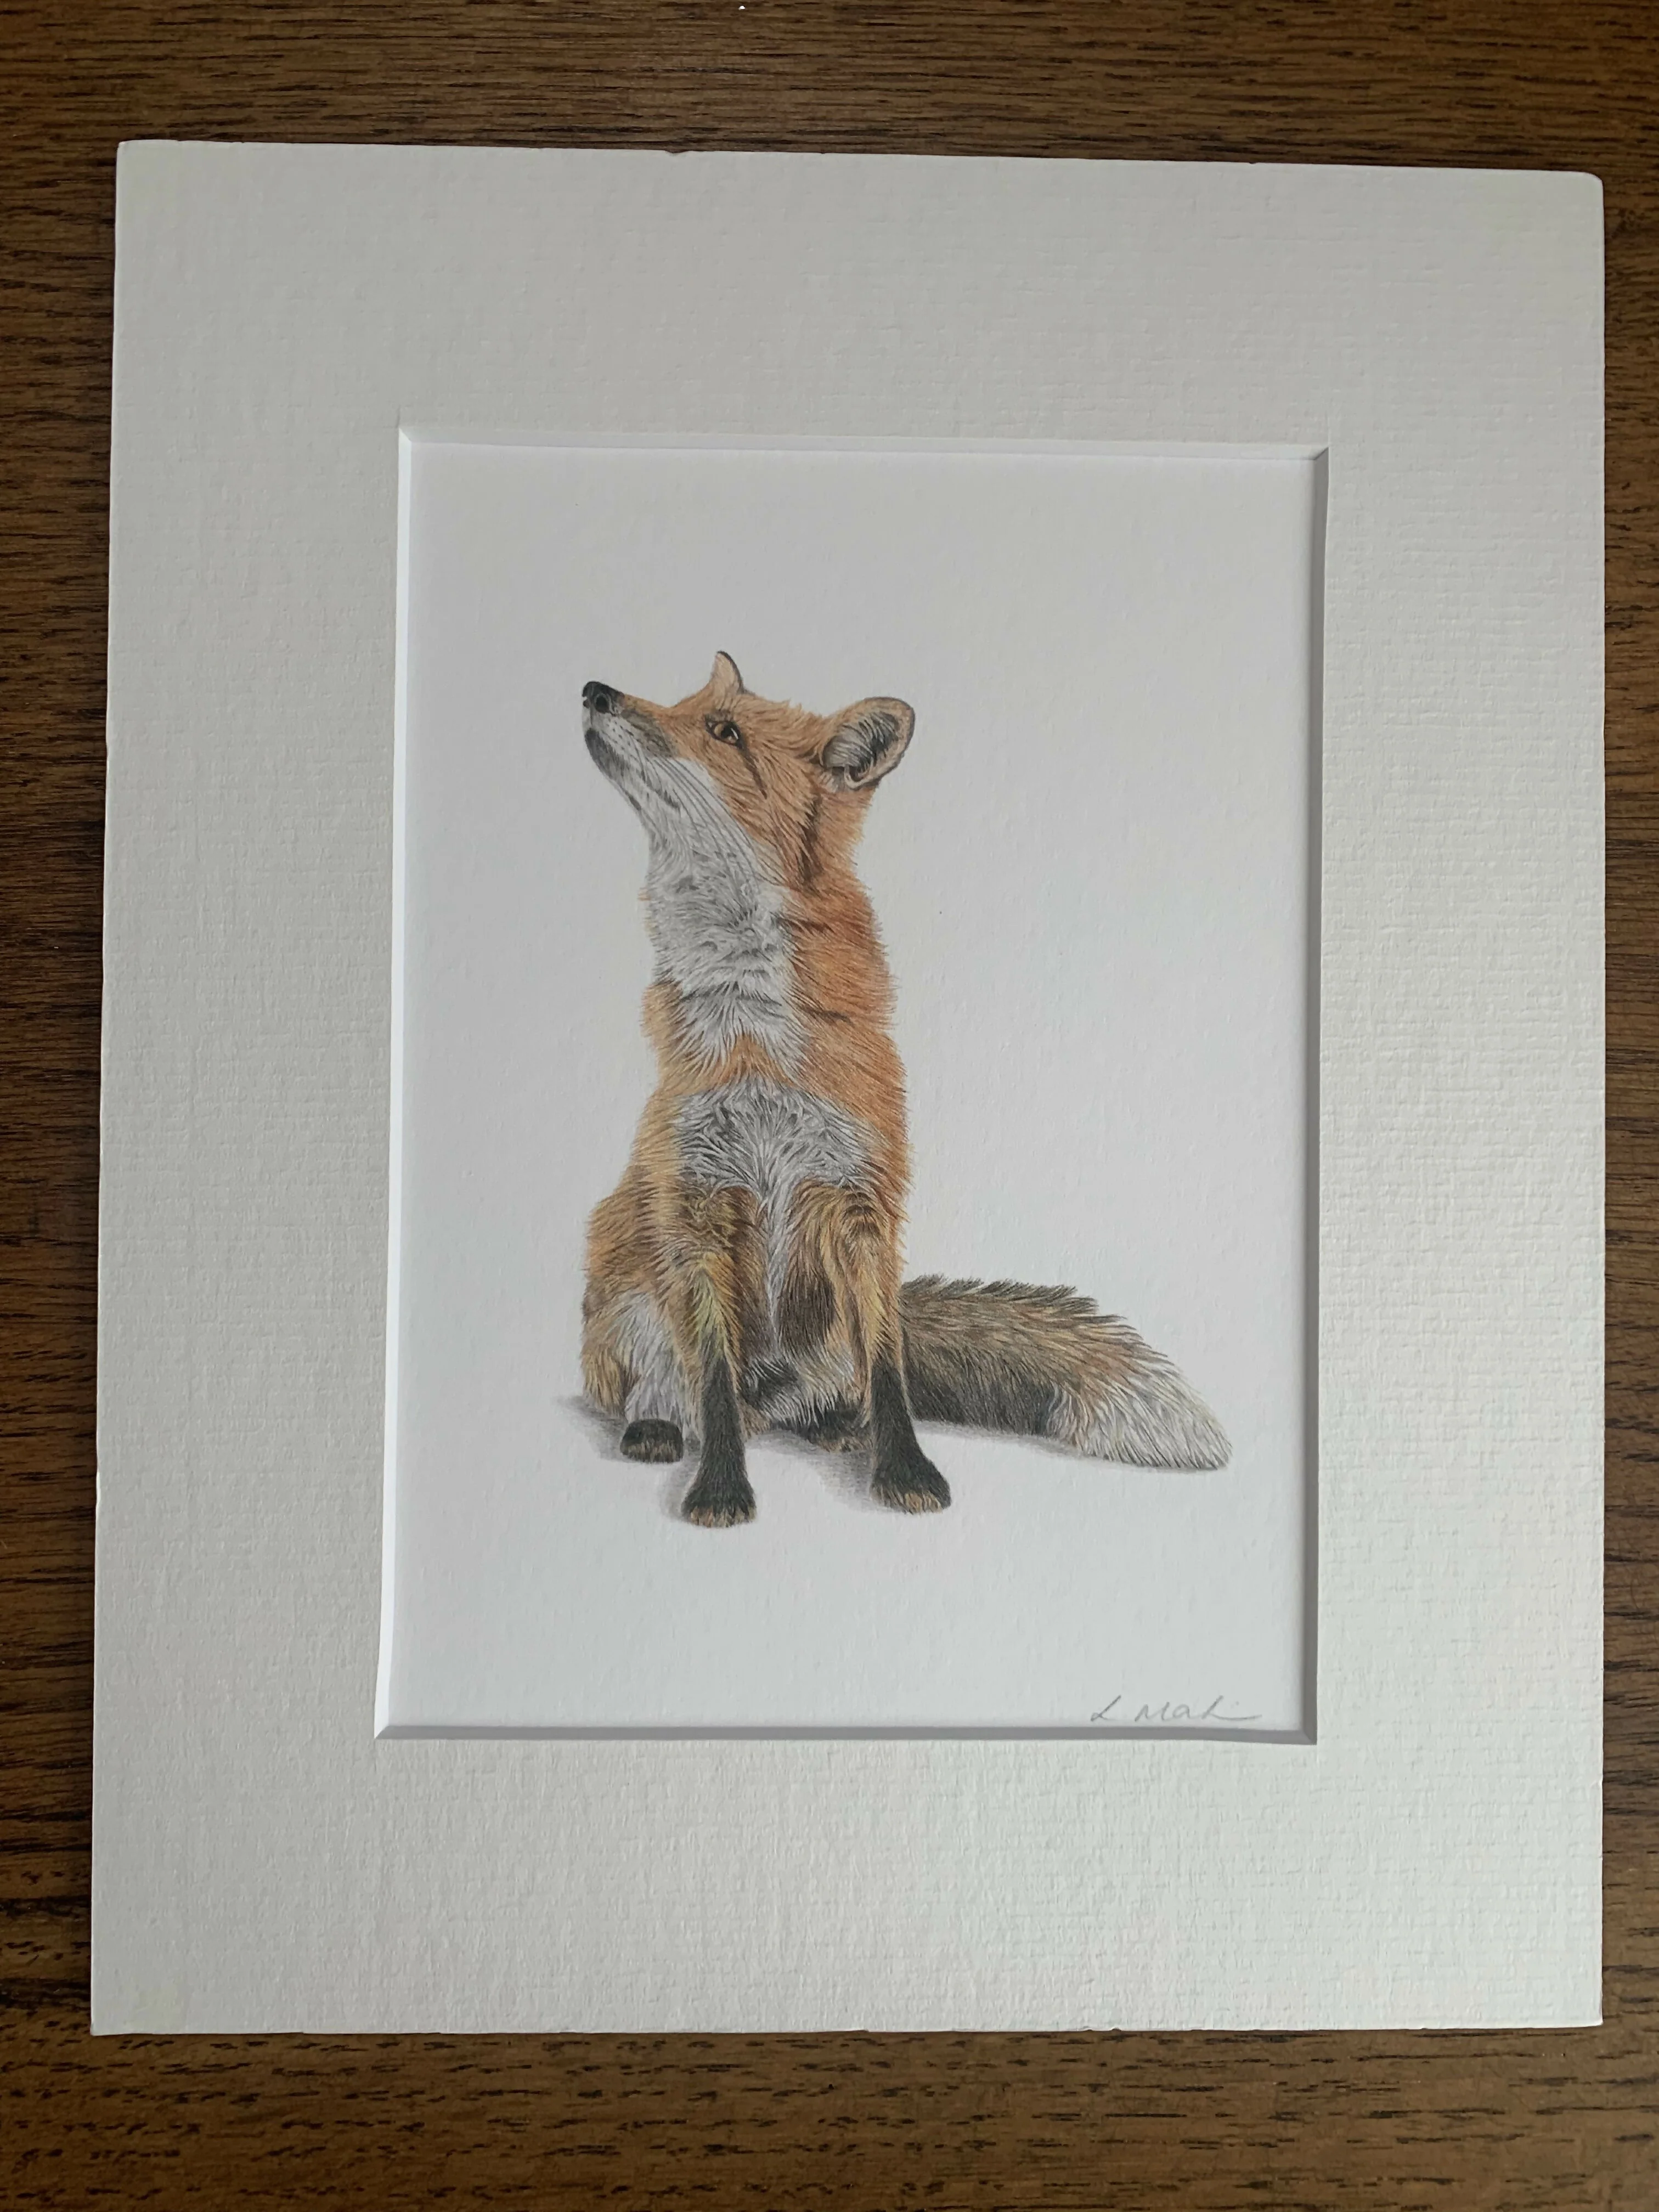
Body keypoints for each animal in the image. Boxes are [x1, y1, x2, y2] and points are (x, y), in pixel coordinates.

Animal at [579, 654, 1230, 1527]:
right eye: (685, 705)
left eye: (723, 730)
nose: (595, 692)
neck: (753, 1022)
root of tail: (775, 1390)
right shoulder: (697, 1200)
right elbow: (711, 1381)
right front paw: (720, 1489)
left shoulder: (863, 1200)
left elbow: (889, 1372)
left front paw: (906, 1472)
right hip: (625, 1288)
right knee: (672, 1387)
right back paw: (657, 1426)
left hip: (817, 1334)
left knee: (825, 1390)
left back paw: (831, 1426)